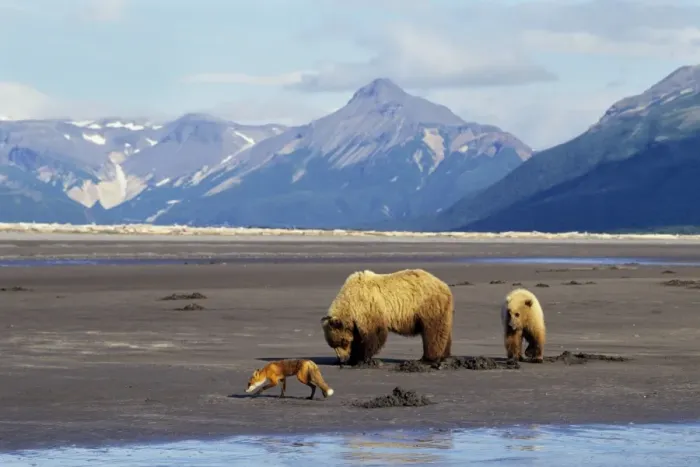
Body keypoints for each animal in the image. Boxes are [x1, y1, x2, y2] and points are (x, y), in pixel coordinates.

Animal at [320, 268, 455, 366]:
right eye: (332, 344)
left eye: (342, 342)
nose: (342, 359)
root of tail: (444, 285)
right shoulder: (356, 321)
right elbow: (358, 337)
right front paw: (353, 357)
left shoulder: (368, 307)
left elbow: (375, 333)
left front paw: (361, 358)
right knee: (443, 331)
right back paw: (444, 355)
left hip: (428, 305)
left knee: (433, 332)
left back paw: (427, 358)